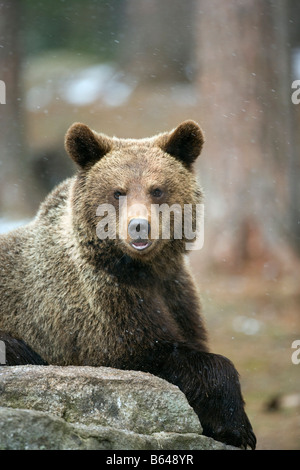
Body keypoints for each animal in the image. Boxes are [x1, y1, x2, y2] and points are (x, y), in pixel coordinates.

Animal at [0, 120, 255, 448]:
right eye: (117, 192)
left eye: (157, 189)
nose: (139, 226)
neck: (143, 269)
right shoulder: (100, 306)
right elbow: (149, 353)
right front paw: (237, 427)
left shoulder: (175, 290)